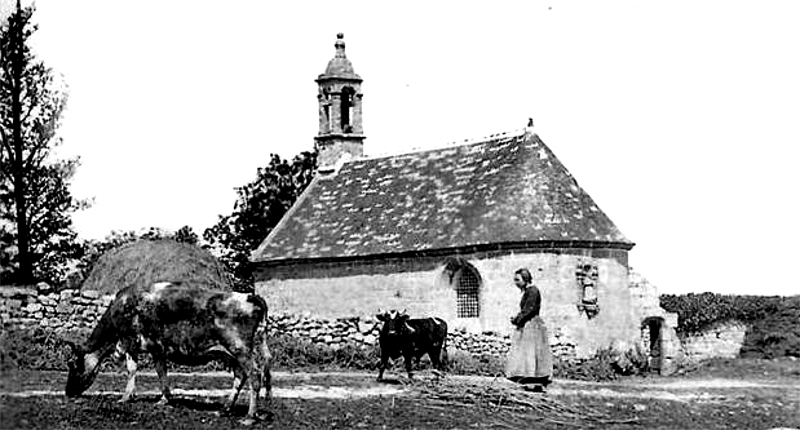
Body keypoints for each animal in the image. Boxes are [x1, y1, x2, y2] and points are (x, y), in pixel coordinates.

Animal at [61, 280, 272, 424]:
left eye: (72, 363)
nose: (68, 392)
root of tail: (248, 296)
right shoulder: (157, 349)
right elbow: (161, 371)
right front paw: (164, 399)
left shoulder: (129, 341)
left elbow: (131, 369)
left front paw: (126, 397)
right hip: (237, 352)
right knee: (242, 376)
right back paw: (226, 409)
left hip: (240, 348)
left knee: (254, 375)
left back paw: (249, 416)